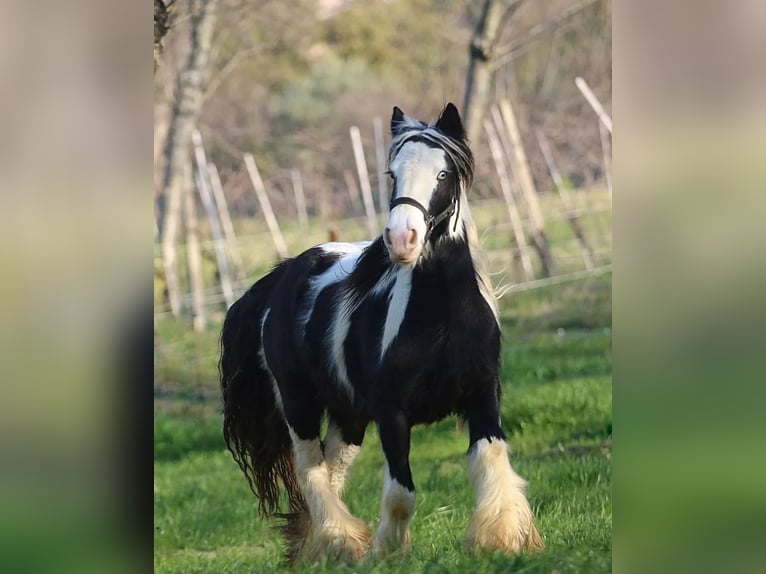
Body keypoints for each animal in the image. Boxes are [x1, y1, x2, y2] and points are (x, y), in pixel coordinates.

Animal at [220, 103, 544, 564]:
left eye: (443, 174)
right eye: (392, 174)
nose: (401, 238)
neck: (442, 318)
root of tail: (282, 275)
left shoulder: (482, 396)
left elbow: (492, 463)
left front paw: (502, 540)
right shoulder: (392, 413)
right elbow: (401, 494)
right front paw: (386, 552)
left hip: (350, 414)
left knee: (331, 469)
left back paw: (320, 545)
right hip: (299, 402)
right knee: (310, 470)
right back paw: (339, 541)